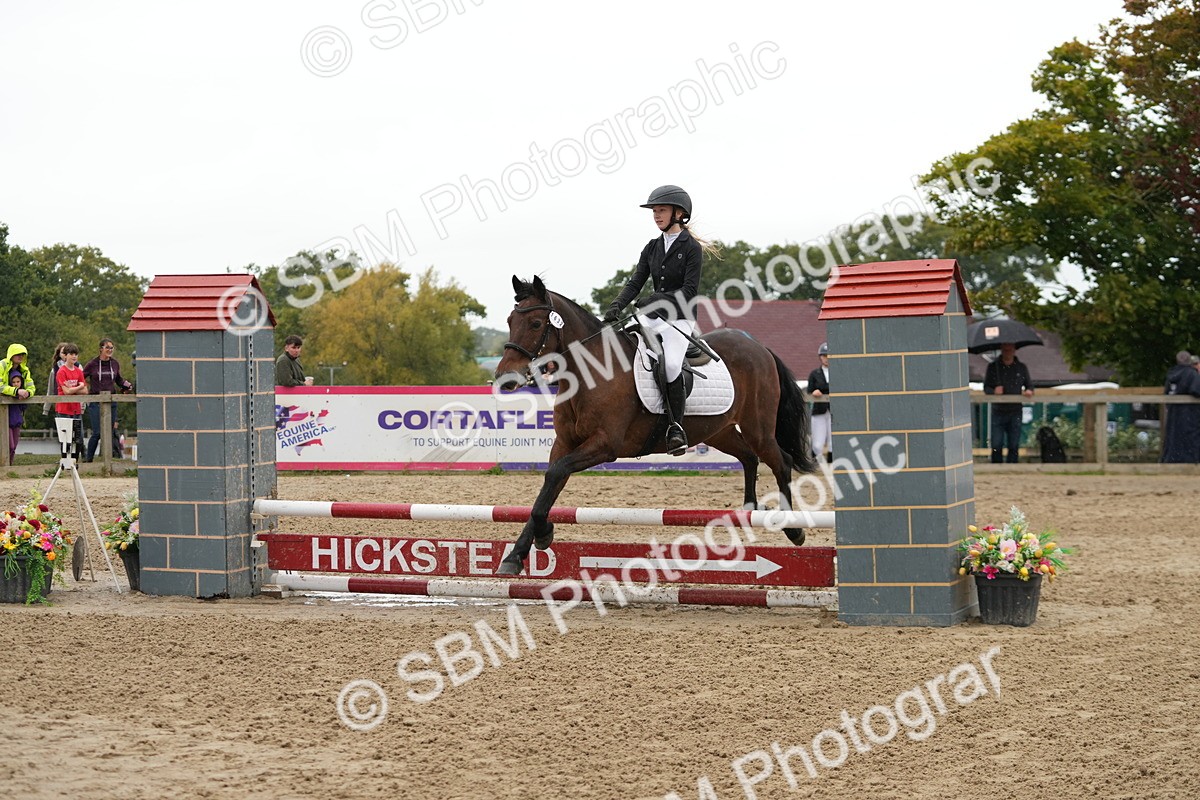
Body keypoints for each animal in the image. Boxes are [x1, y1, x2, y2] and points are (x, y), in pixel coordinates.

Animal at [492, 276, 820, 576]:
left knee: (781, 462)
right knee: (750, 458)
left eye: (536, 323)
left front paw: (540, 537)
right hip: (720, 431)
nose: (506, 379)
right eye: (509, 320)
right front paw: (519, 553)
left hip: (757, 429)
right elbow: (548, 486)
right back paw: (748, 511)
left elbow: (556, 474)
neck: (591, 373)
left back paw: (793, 529)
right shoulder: (564, 444)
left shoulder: (605, 445)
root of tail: (758, 347)